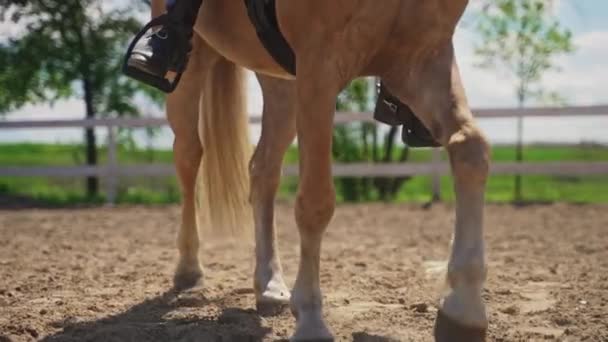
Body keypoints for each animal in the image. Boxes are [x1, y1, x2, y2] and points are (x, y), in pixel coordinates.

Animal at [156, 1, 490, 340]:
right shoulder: (320, 64)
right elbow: (316, 202)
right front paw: (310, 318)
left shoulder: (423, 57)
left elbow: (471, 149)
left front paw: (463, 309)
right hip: (193, 65)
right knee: (189, 158)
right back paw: (189, 271)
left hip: (282, 84)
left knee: (263, 171)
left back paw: (269, 286)